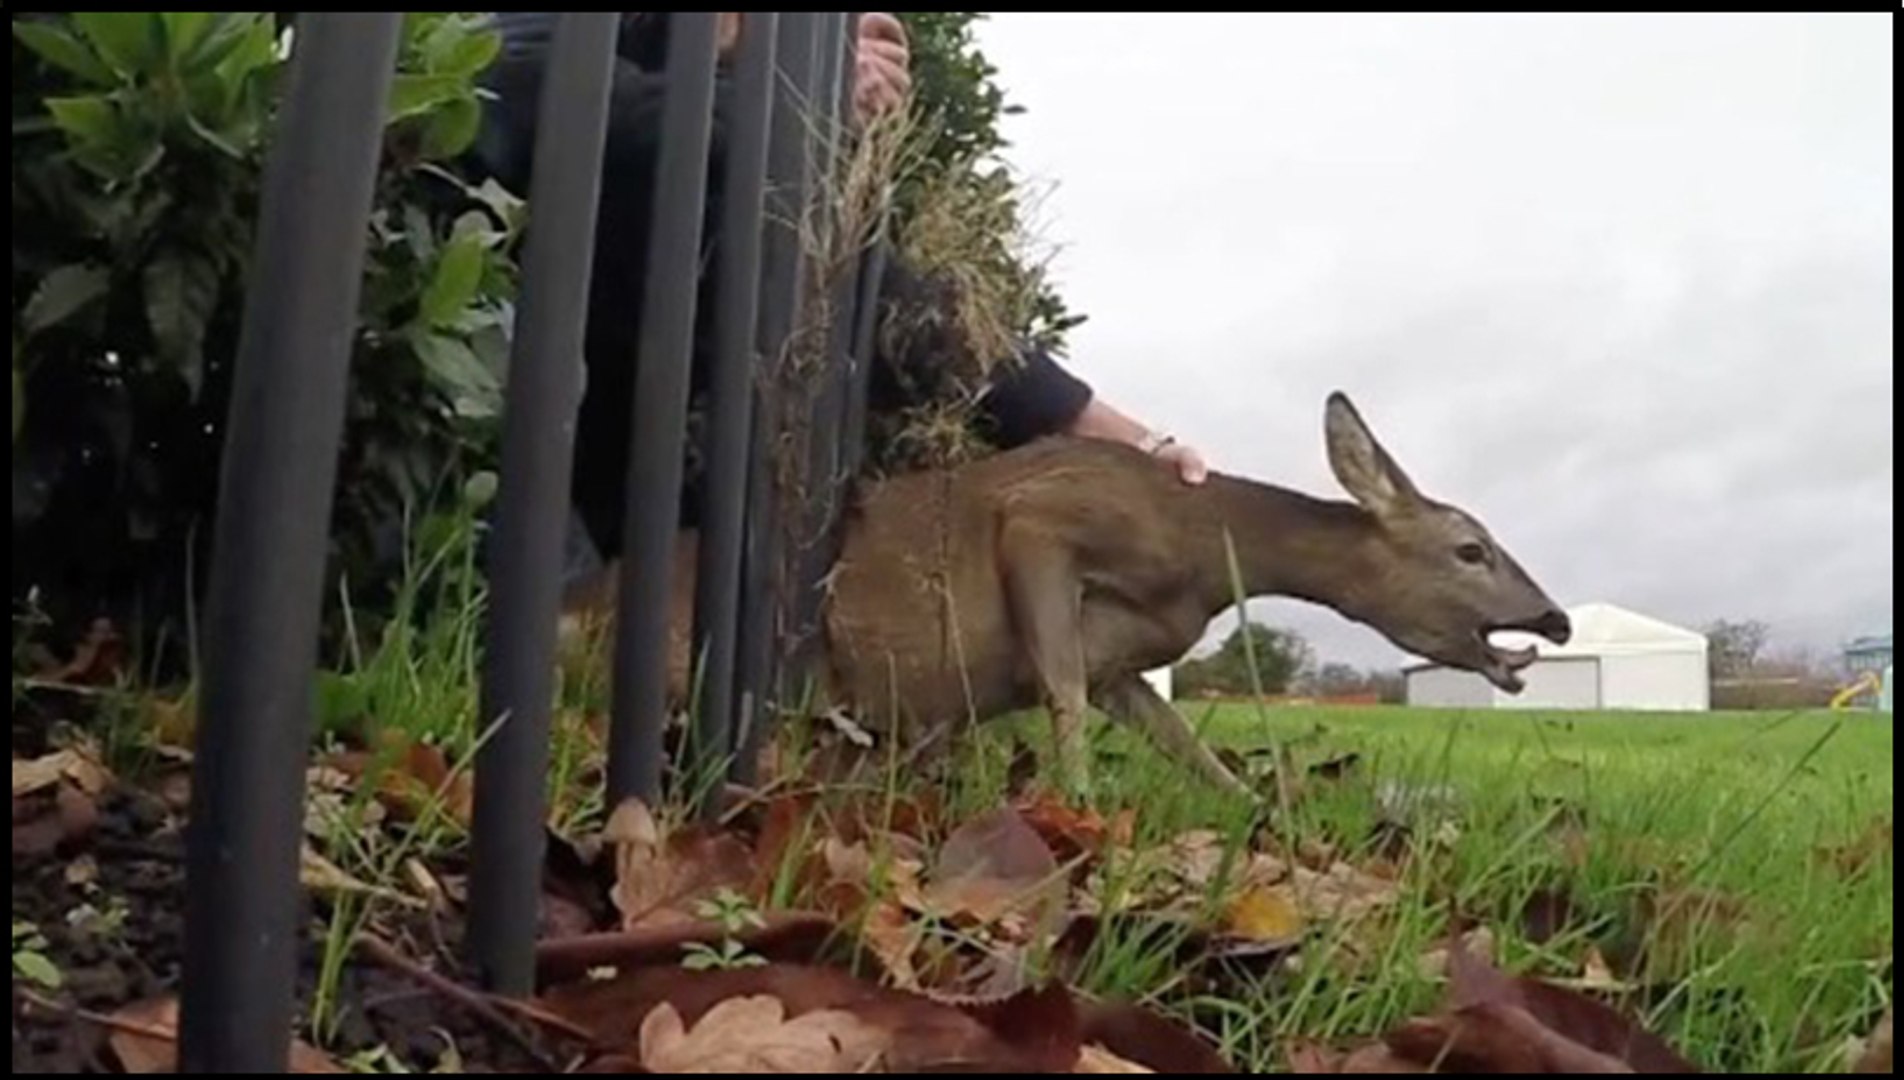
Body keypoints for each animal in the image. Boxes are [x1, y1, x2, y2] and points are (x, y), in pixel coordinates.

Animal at [564, 392, 1572, 800]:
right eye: (1471, 548)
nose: (1554, 618)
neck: (1203, 554)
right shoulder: (1043, 517)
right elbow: (1061, 696)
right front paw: (1076, 812)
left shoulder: (1126, 661)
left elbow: (1182, 743)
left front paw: (1264, 811)